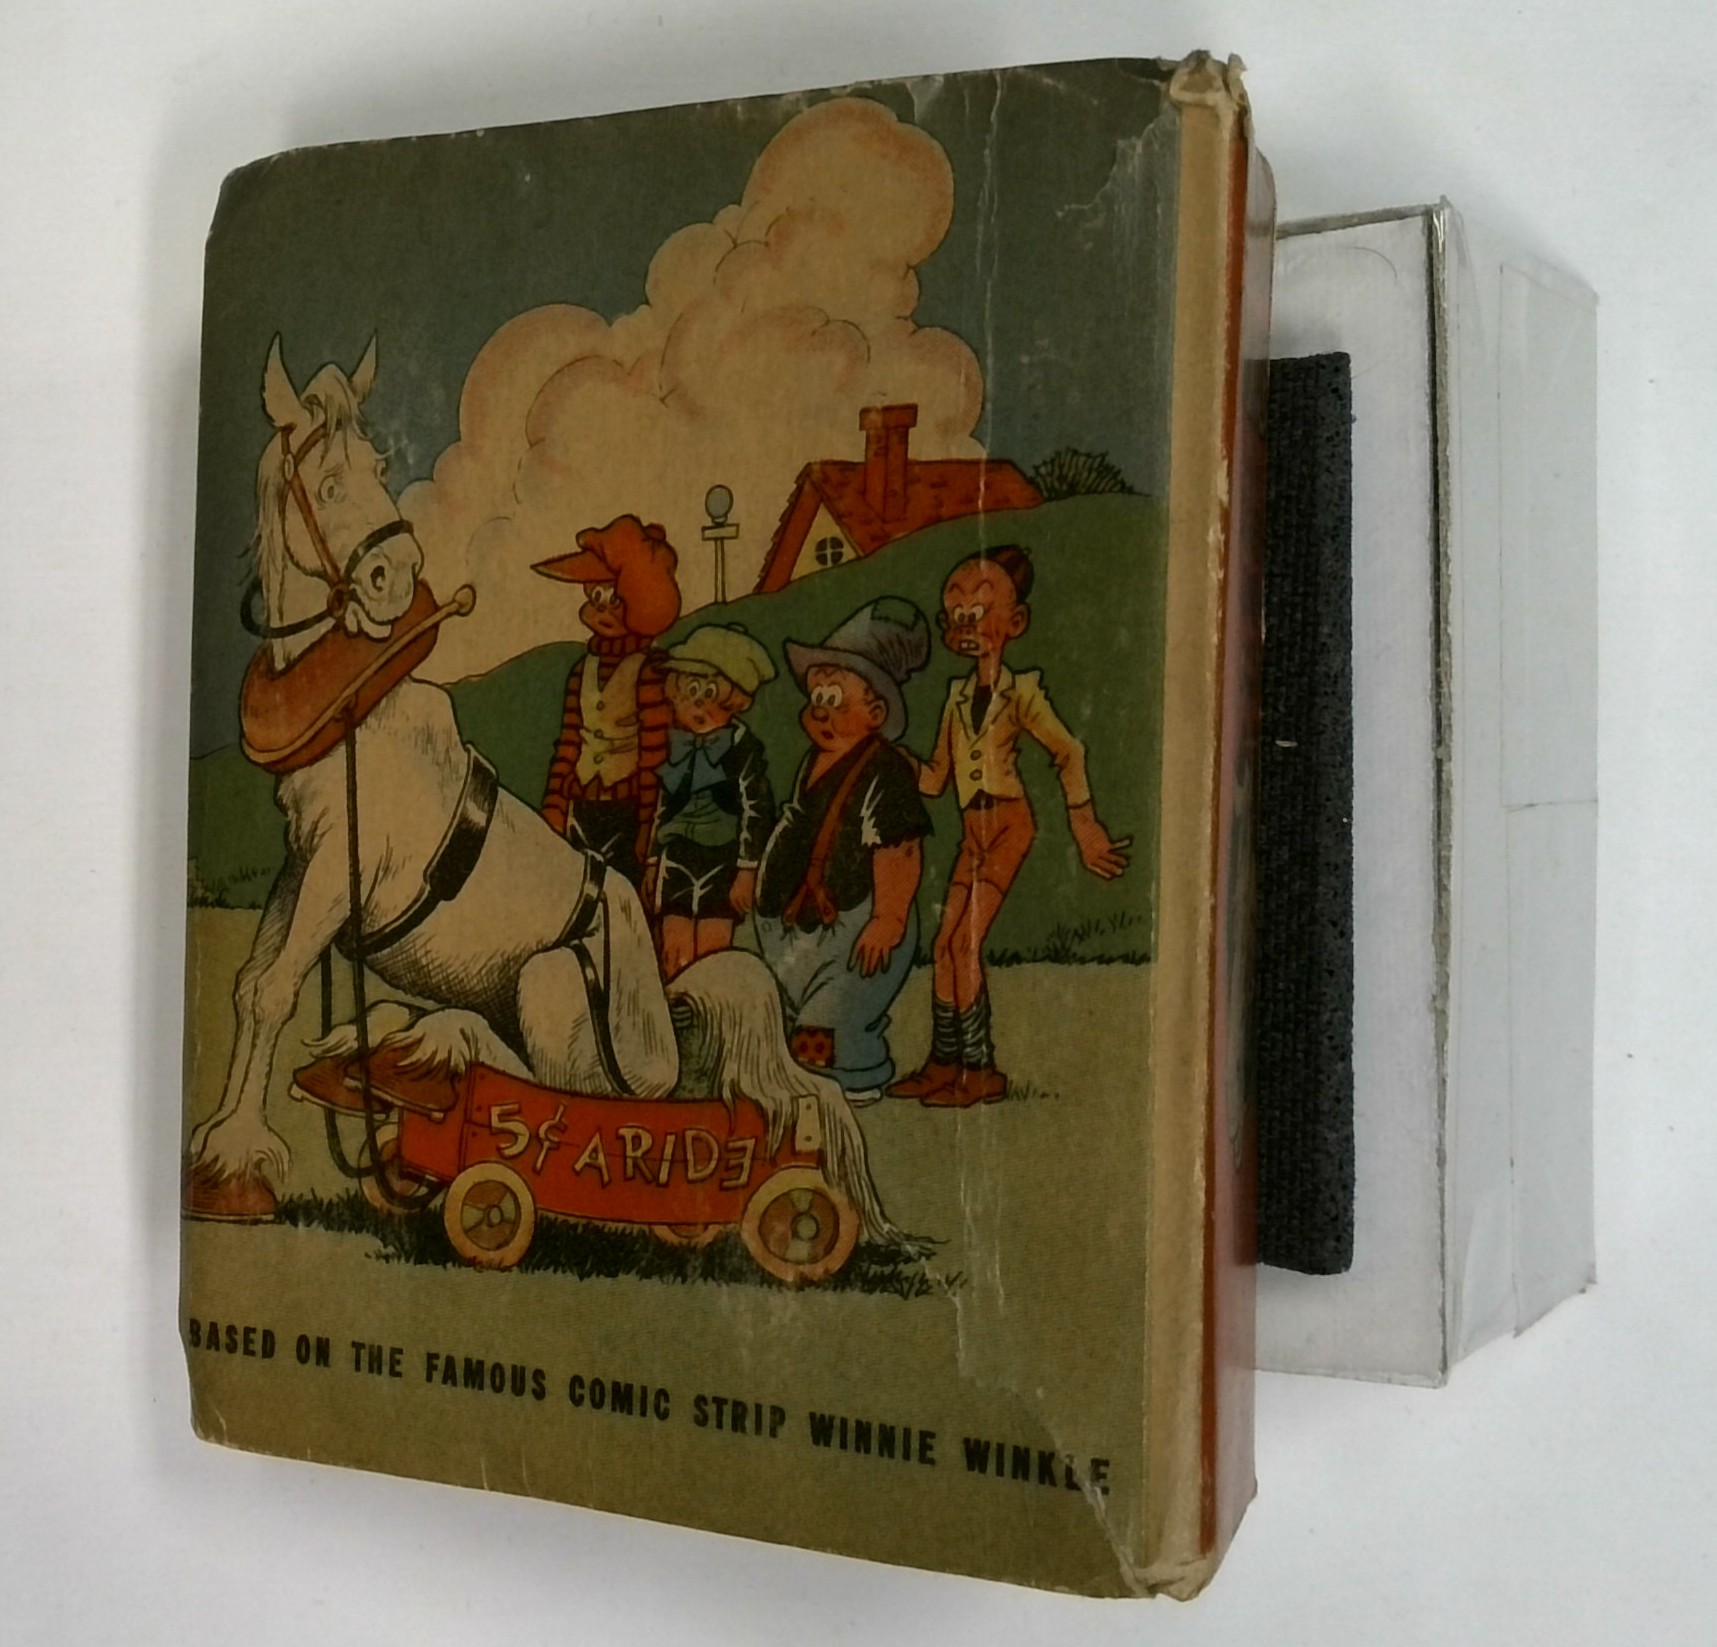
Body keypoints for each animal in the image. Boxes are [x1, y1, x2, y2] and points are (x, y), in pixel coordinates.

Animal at [184, 338, 905, 1253]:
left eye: (379, 464)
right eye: (333, 483)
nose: (396, 575)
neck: (359, 720)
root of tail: (669, 1025)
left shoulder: (338, 874)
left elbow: (274, 989)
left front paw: (235, 1161)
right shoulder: (302, 863)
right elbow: (253, 983)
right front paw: (226, 1150)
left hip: (553, 987)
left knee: (554, 1091)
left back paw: (436, 1055)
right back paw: (403, 1046)